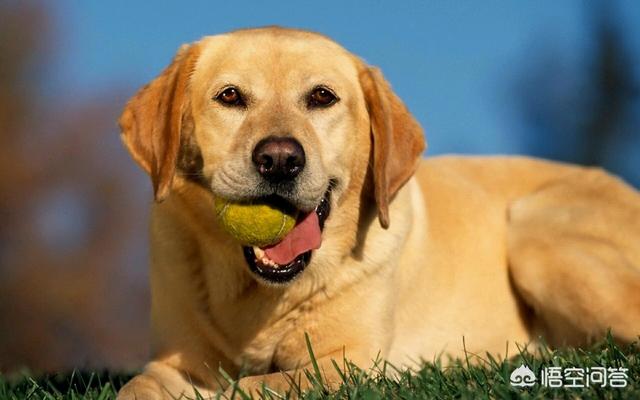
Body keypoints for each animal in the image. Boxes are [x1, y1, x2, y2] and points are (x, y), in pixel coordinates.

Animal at [116, 26, 640, 398]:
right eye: (230, 96)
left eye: (322, 96)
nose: (280, 159)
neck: (259, 296)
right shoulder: (175, 361)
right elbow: (136, 388)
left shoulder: (346, 362)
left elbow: (256, 386)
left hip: (534, 233)